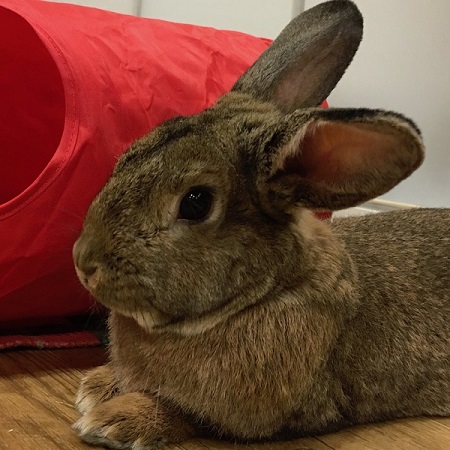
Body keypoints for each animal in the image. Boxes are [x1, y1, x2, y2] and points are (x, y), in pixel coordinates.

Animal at [72, 0, 448, 448]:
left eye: (196, 203)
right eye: (133, 150)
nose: (83, 263)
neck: (267, 290)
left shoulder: (269, 416)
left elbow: (185, 413)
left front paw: (115, 419)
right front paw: (96, 387)